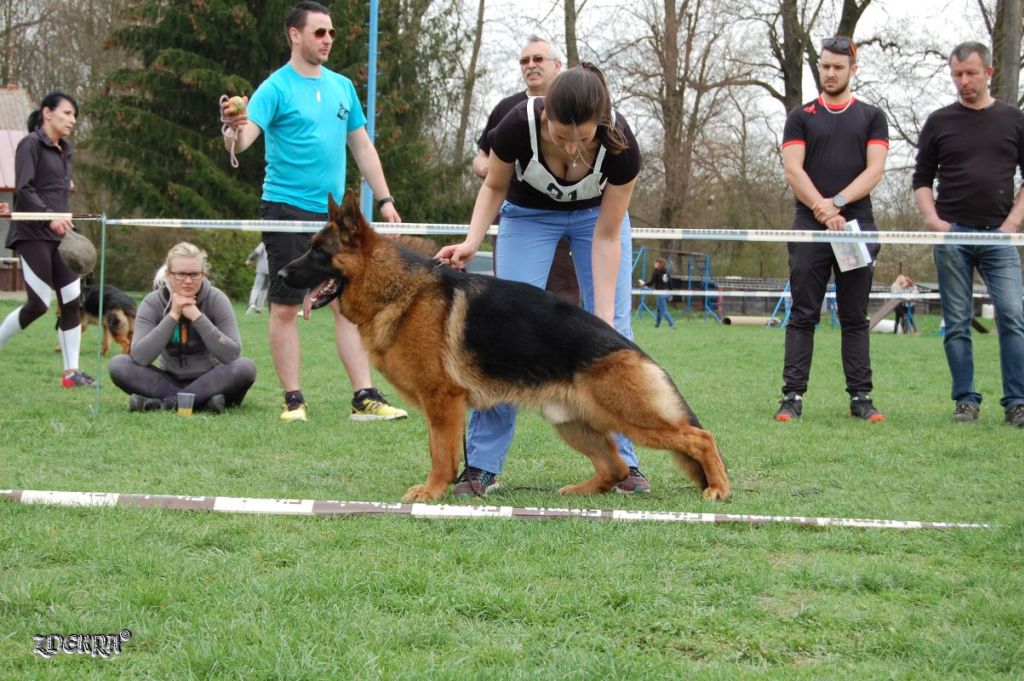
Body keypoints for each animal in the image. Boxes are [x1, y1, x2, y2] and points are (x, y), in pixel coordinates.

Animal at [280, 188, 729, 501]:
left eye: (319, 253)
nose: (281, 275)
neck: (396, 289)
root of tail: (633, 350)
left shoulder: (443, 402)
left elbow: (441, 454)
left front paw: (432, 491)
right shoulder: (442, 406)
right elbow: (439, 450)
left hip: (629, 415)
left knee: (700, 437)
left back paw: (718, 487)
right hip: (571, 422)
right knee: (615, 467)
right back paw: (581, 492)